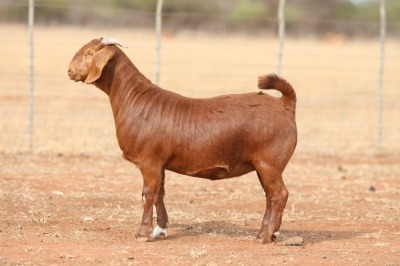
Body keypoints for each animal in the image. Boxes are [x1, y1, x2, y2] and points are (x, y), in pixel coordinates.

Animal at [68, 37, 296, 243]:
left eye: (90, 53)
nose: (69, 70)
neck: (136, 99)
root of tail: (285, 104)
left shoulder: (149, 161)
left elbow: (148, 193)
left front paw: (142, 234)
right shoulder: (159, 163)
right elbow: (160, 193)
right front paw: (160, 229)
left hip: (269, 163)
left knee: (280, 194)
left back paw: (266, 236)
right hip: (263, 166)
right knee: (270, 196)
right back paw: (262, 234)